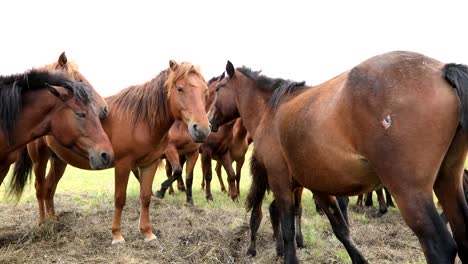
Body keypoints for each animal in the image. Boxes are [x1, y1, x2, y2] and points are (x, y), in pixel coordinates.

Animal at [20, 59, 210, 243]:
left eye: (205, 90)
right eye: (180, 89)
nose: (202, 130)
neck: (141, 120)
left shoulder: (150, 164)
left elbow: (145, 197)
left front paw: (147, 233)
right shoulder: (123, 165)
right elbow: (120, 198)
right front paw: (117, 235)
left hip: (59, 160)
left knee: (50, 188)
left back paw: (53, 222)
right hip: (40, 159)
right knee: (40, 188)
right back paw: (43, 224)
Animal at [210, 51, 468, 264]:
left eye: (218, 89)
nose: (209, 120)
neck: (270, 110)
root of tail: (441, 70)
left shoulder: (280, 181)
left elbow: (287, 229)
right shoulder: (319, 188)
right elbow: (341, 229)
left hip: (409, 191)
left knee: (440, 245)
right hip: (447, 182)